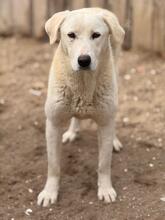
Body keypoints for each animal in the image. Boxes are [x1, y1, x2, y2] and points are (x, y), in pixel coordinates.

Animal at [37, 7, 124, 207]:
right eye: (71, 35)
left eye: (96, 35)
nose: (84, 60)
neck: (83, 85)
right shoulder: (53, 124)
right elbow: (53, 165)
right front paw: (50, 192)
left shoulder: (105, 124)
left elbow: (104, 164)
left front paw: (105, 189)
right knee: (76, 117)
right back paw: (72, 132)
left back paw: (114, 140)